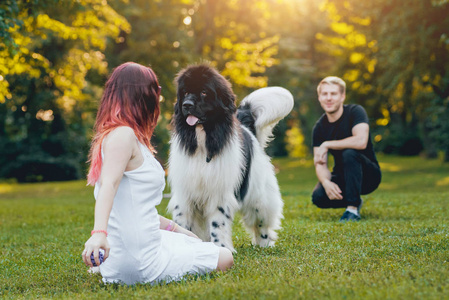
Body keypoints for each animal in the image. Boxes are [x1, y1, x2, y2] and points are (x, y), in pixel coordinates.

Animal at [166, 64, 292, 252]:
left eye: (204, 92)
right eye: (185, 92)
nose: (186, 104)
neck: (203, 138)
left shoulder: (219, 192)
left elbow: (218, 224)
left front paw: (221, 248)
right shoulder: (185, 193)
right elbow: (183, 223)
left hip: (259, 195)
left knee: (261, 221)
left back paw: (264, 244)